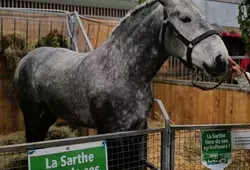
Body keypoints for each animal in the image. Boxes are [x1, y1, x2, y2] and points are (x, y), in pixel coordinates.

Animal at [13, 0, 229, 168]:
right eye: (185, 18)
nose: (221, 60)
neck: (124, 71)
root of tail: (29, 56)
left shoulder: (138, 128)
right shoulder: (111, 132)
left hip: (50, 111)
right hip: (30, 110)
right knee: (31, 137)